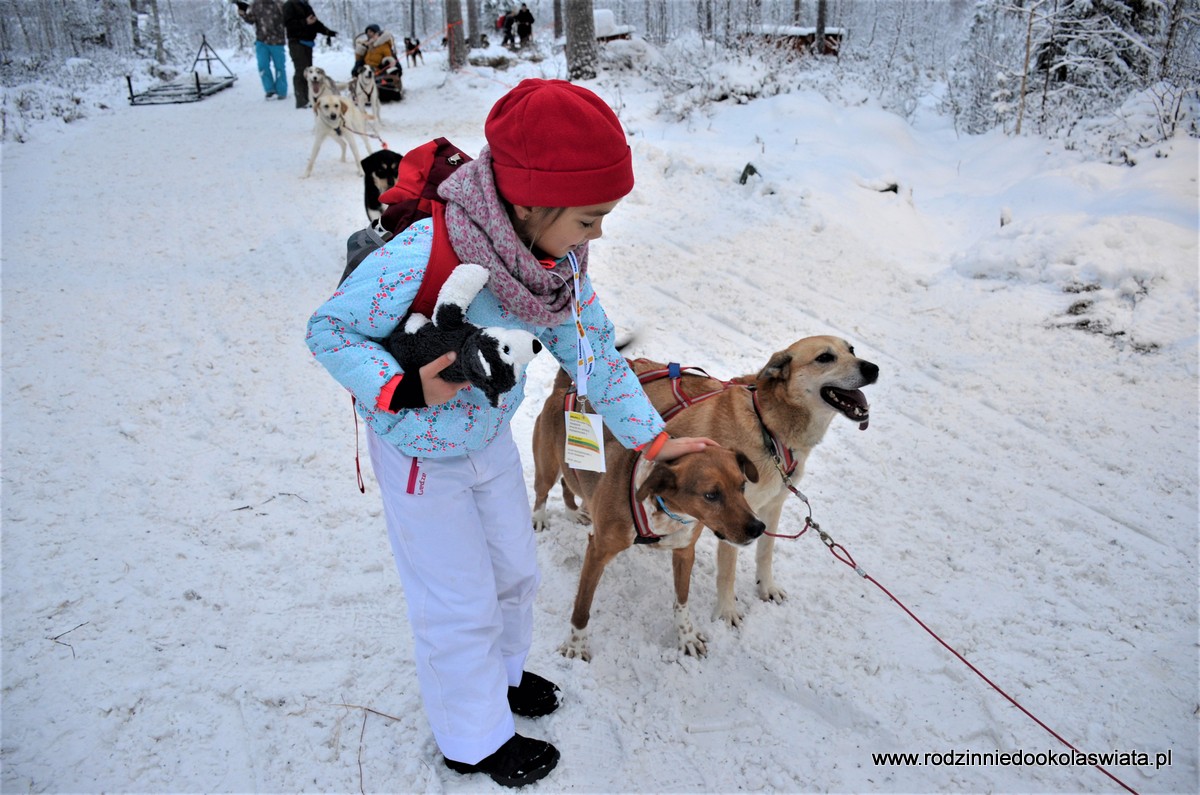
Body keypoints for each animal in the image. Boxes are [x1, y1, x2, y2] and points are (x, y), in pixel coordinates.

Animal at [532, 367, 763, 658]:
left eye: (742, 486)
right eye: (711, 495)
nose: (758, 528)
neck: (664, 511)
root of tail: (564, 390)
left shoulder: (684, 552)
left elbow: (681, 601)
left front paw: (686, 637)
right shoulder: (597, 551)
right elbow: (582, 606)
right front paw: (575, 644)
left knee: (568, 483)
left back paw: (573, 513)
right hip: (547, 466)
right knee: (542, 491)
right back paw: (539, 518)